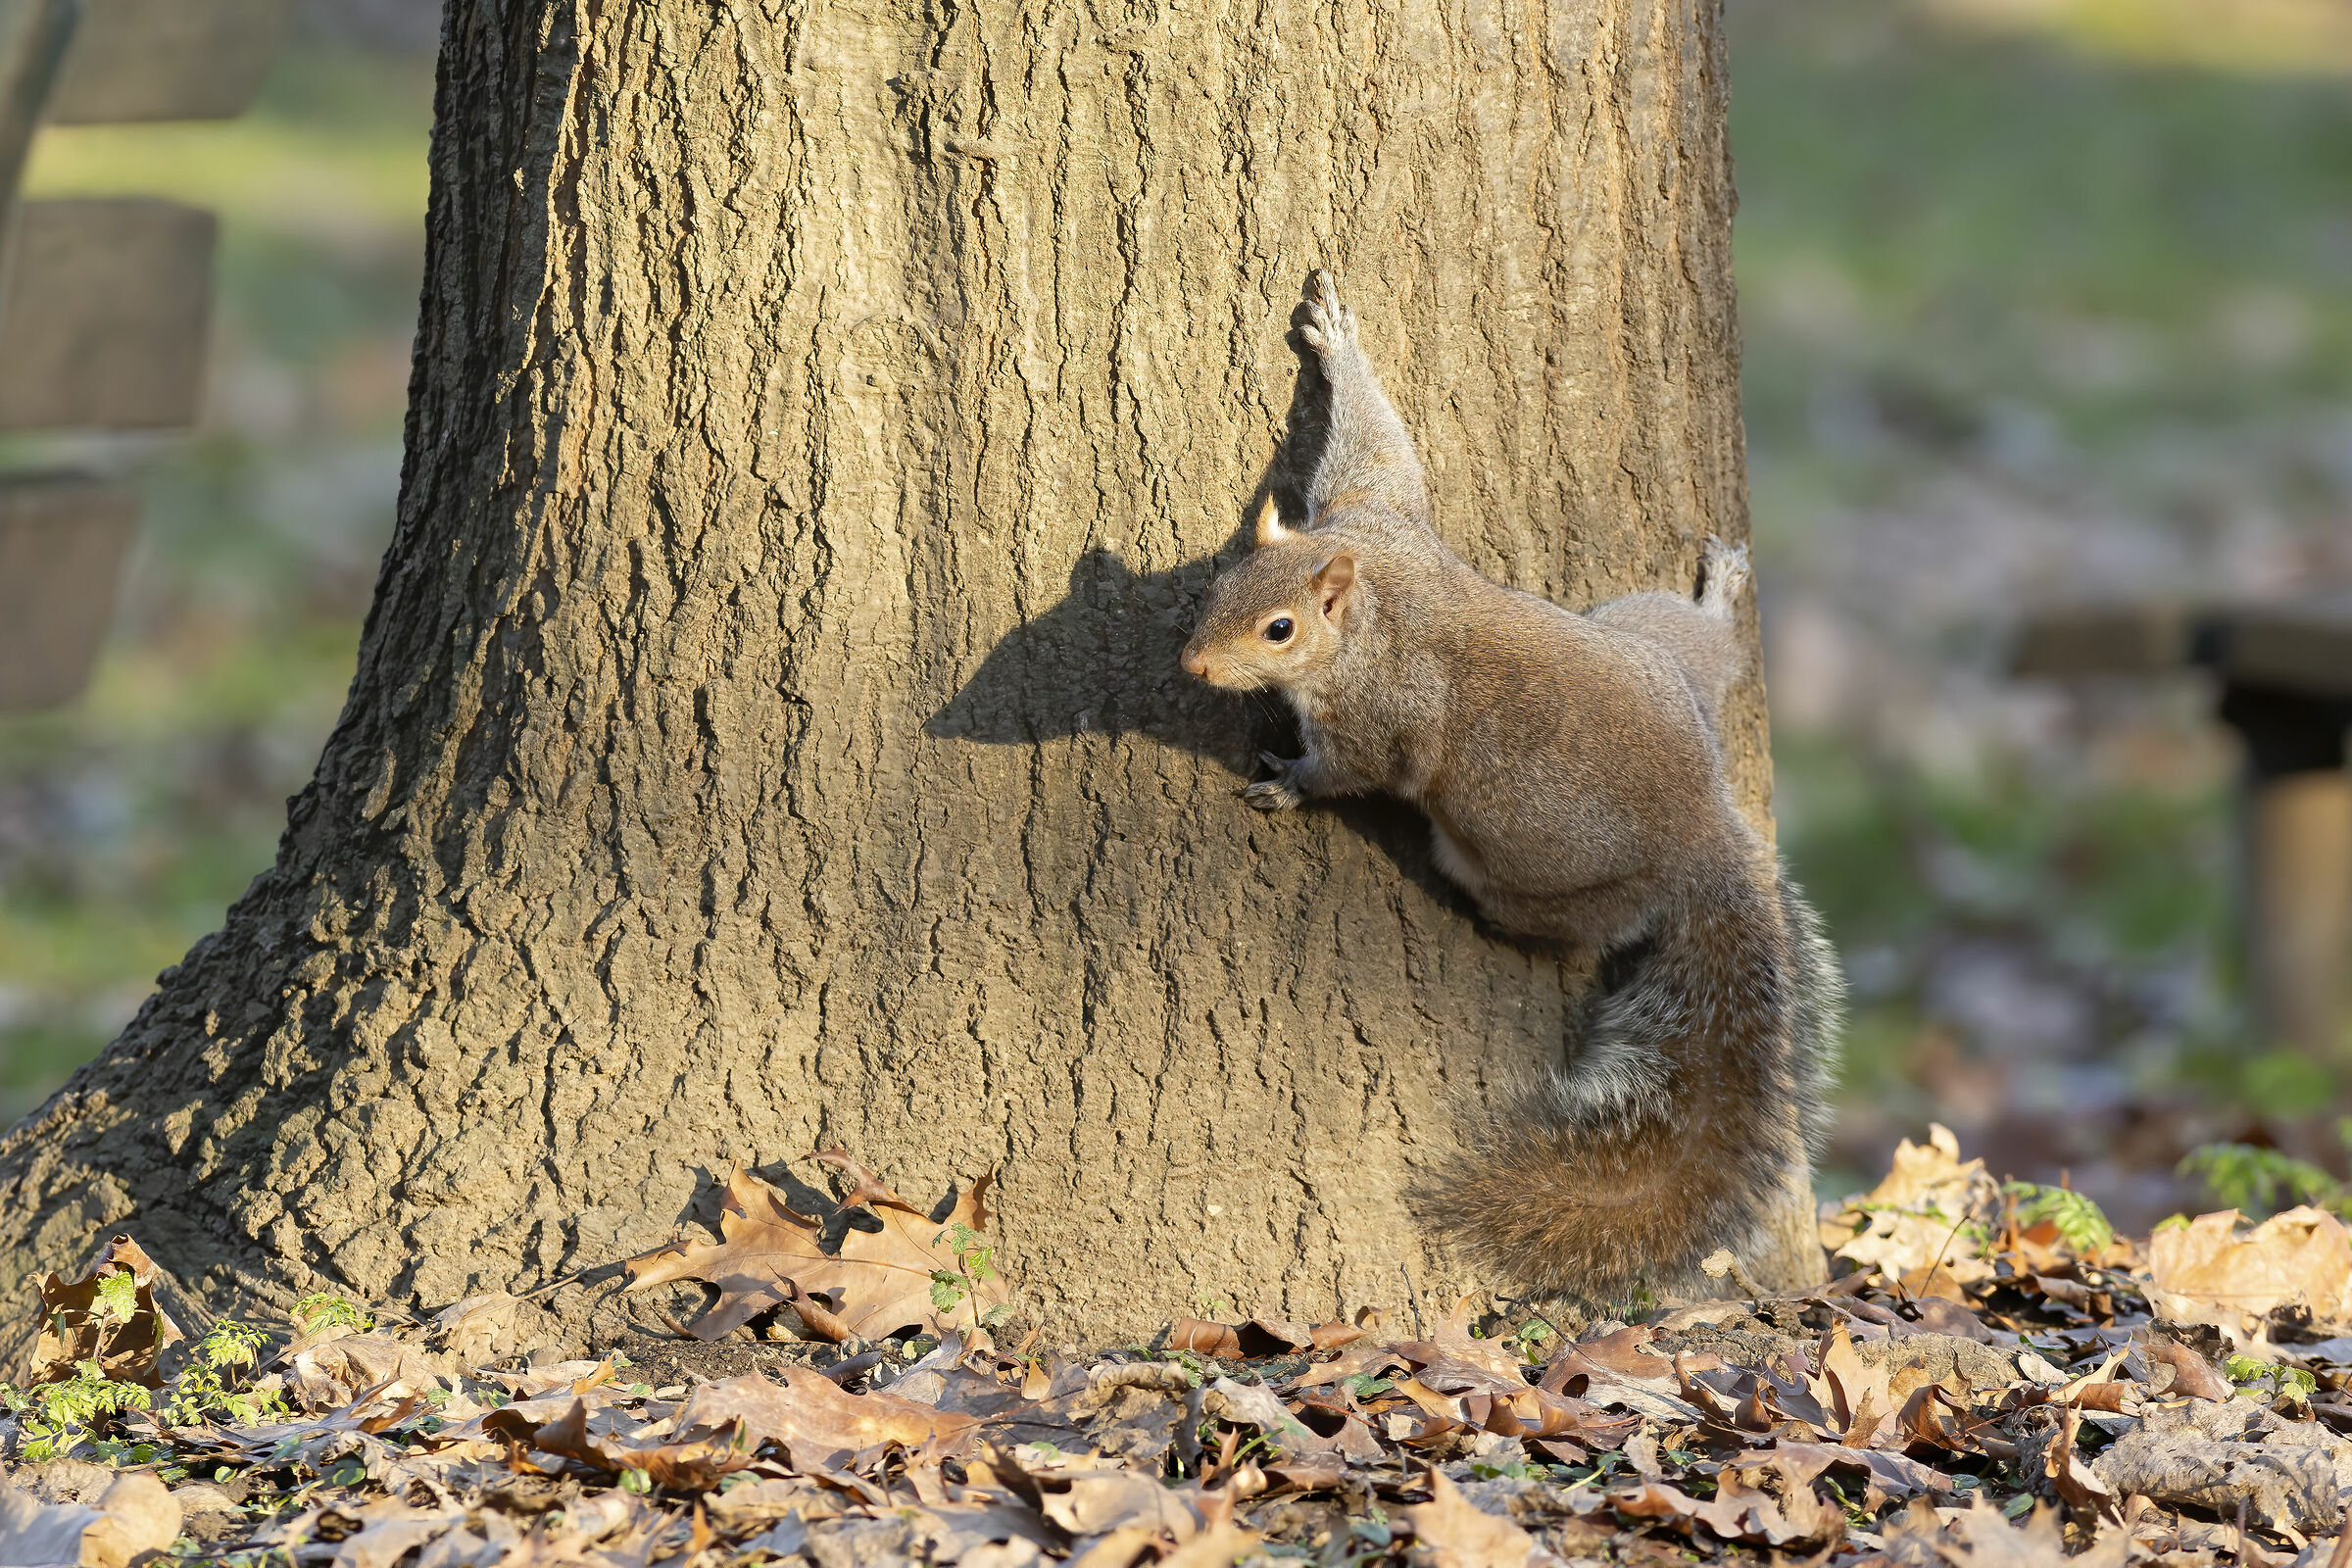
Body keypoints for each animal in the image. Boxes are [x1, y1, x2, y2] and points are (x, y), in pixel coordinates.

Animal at [1180, 271, 1841, 1302]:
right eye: (1217, 581)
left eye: (1279, 629)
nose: (1193, 665)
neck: (1373, 605)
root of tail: (1705, 827)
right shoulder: (1376, 513)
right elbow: (1381, 448)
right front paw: (1335, 340)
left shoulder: (1380, 715)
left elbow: (1354, 770)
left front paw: (1287, 785)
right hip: (1647, 641)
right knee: (1708, 648)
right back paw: (1722, 599)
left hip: (1532, 873)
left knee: (1559, 922)